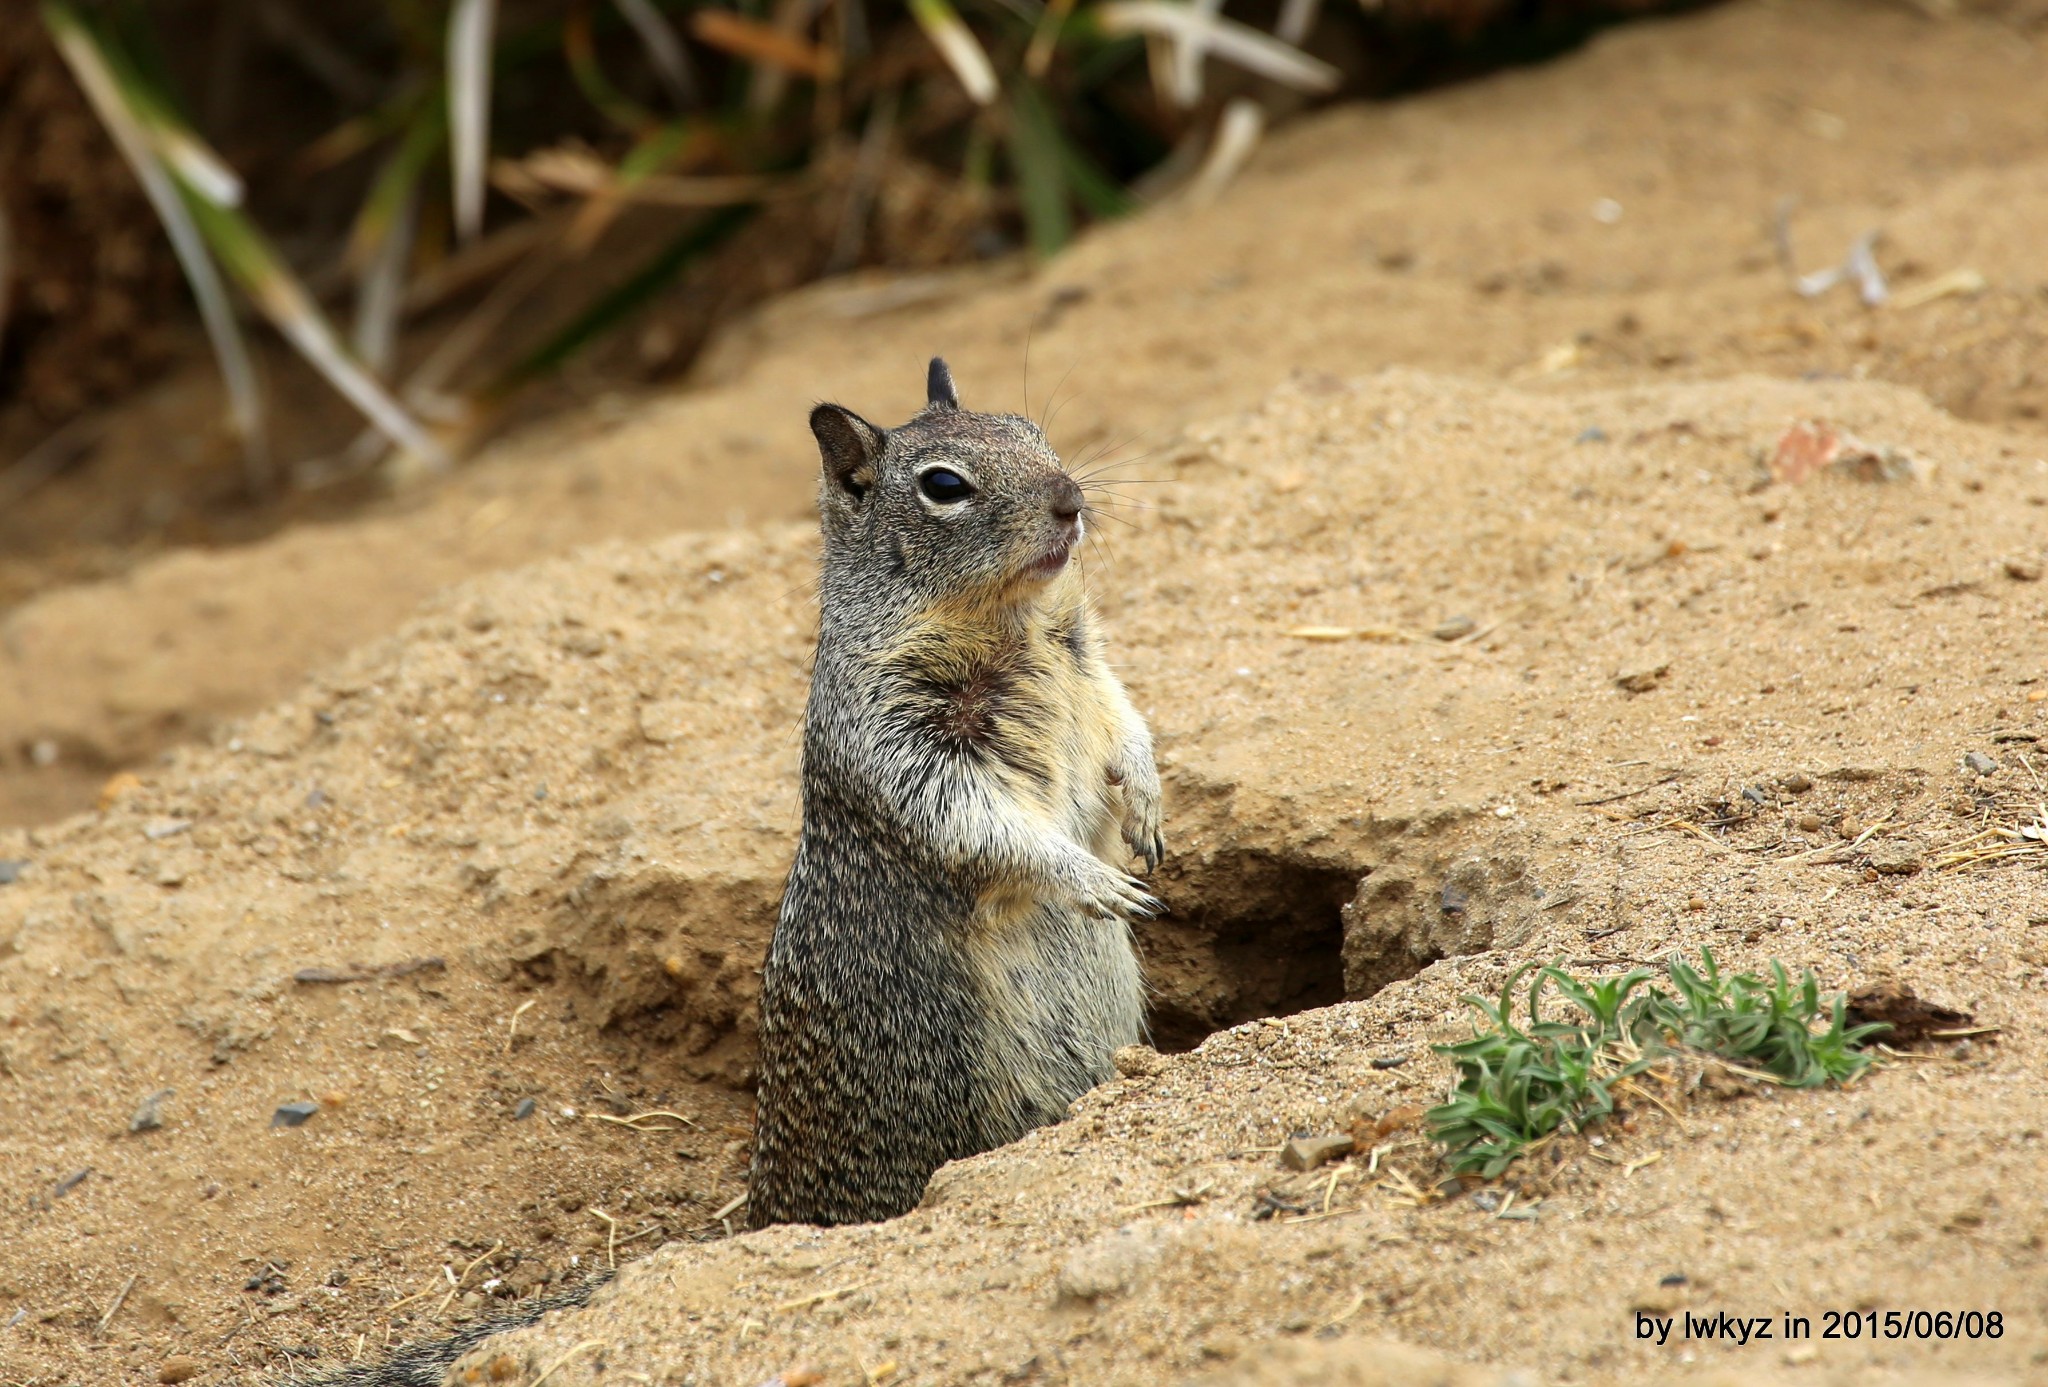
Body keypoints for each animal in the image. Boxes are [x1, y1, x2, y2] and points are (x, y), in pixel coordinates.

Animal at [749, 354, 1171, 1221]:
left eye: (1031, 430)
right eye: (944, 485)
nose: (1071, 498)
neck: (1016, 619)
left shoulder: (1092, 665)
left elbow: (1126, 720)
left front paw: (1146, 802)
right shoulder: (899, 743)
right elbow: (975, 823)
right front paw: (1092, 879)